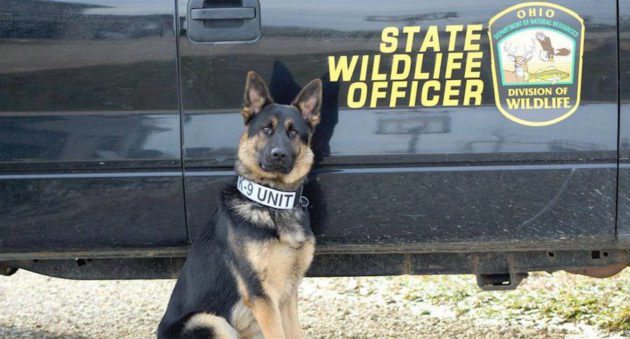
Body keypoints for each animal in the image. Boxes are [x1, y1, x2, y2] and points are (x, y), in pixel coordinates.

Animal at [160, 71, 324, 339]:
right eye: (267, 129)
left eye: (293, 132)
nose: (279, 155)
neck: (271, 203)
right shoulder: (262, 298)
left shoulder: (288, 298)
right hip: (212, 321)